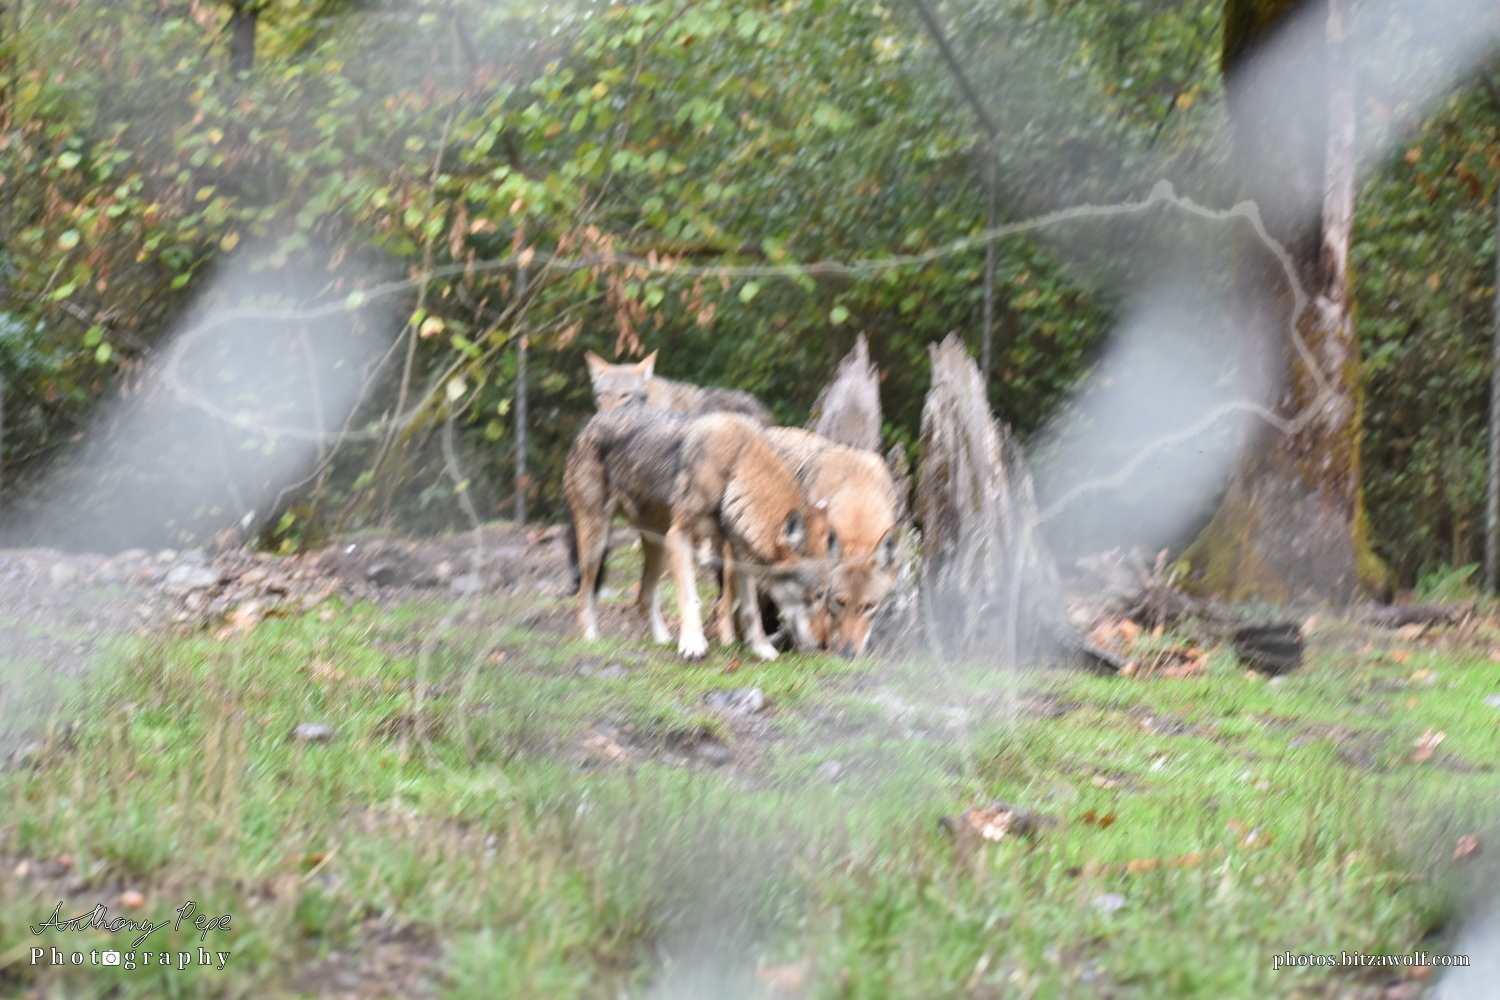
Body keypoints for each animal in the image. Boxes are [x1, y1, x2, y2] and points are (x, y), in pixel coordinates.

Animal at [564, 406, 833, 661]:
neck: (734, 466)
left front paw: (762, 649)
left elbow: (751, 611)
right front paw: (693, 644)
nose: (824, 645)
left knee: (643, 598)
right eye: (818, 595)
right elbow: (690, 598)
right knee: (584, 594)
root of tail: (588, 424)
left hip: (658, 547)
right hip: (598, 542)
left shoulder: (737, 553)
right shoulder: (680, 535)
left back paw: (662, 639)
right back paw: (591, 638)